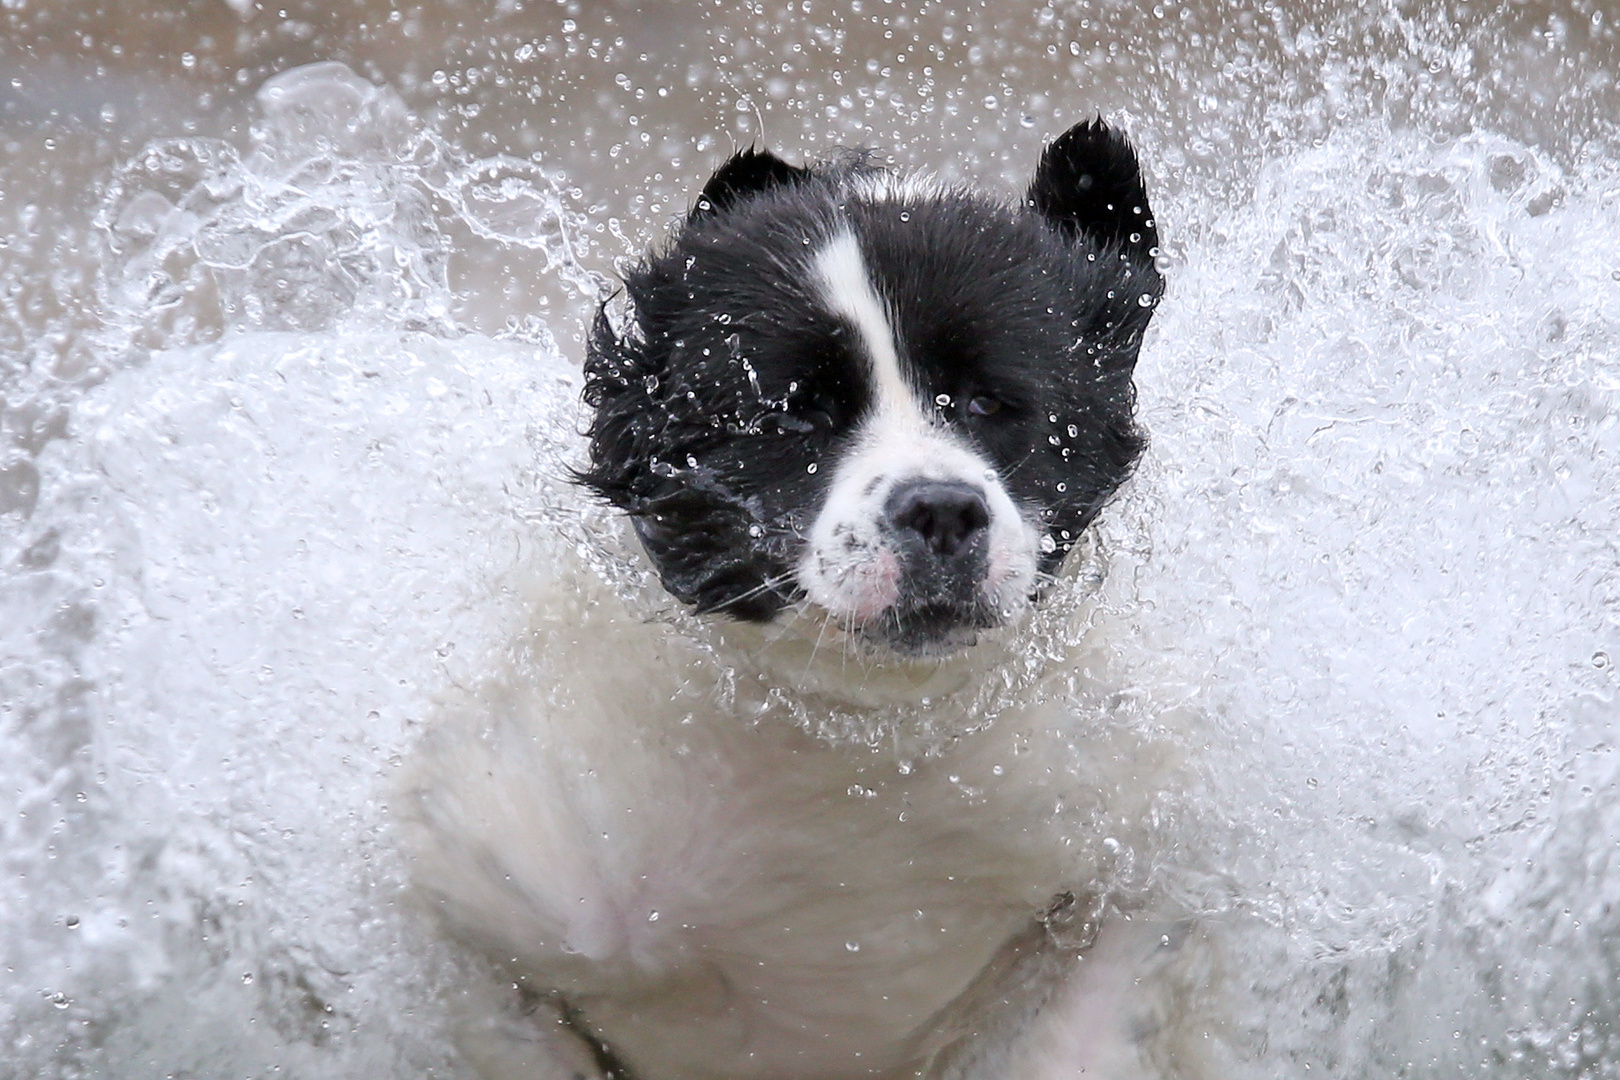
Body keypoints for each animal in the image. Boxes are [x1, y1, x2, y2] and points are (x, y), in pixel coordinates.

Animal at [408, 122, 1192, 1080]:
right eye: (795, 414)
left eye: (987, 400)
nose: (941, 508)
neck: (861, 736)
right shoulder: (489, 885)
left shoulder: (1135, 863)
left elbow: (1082, 1020)